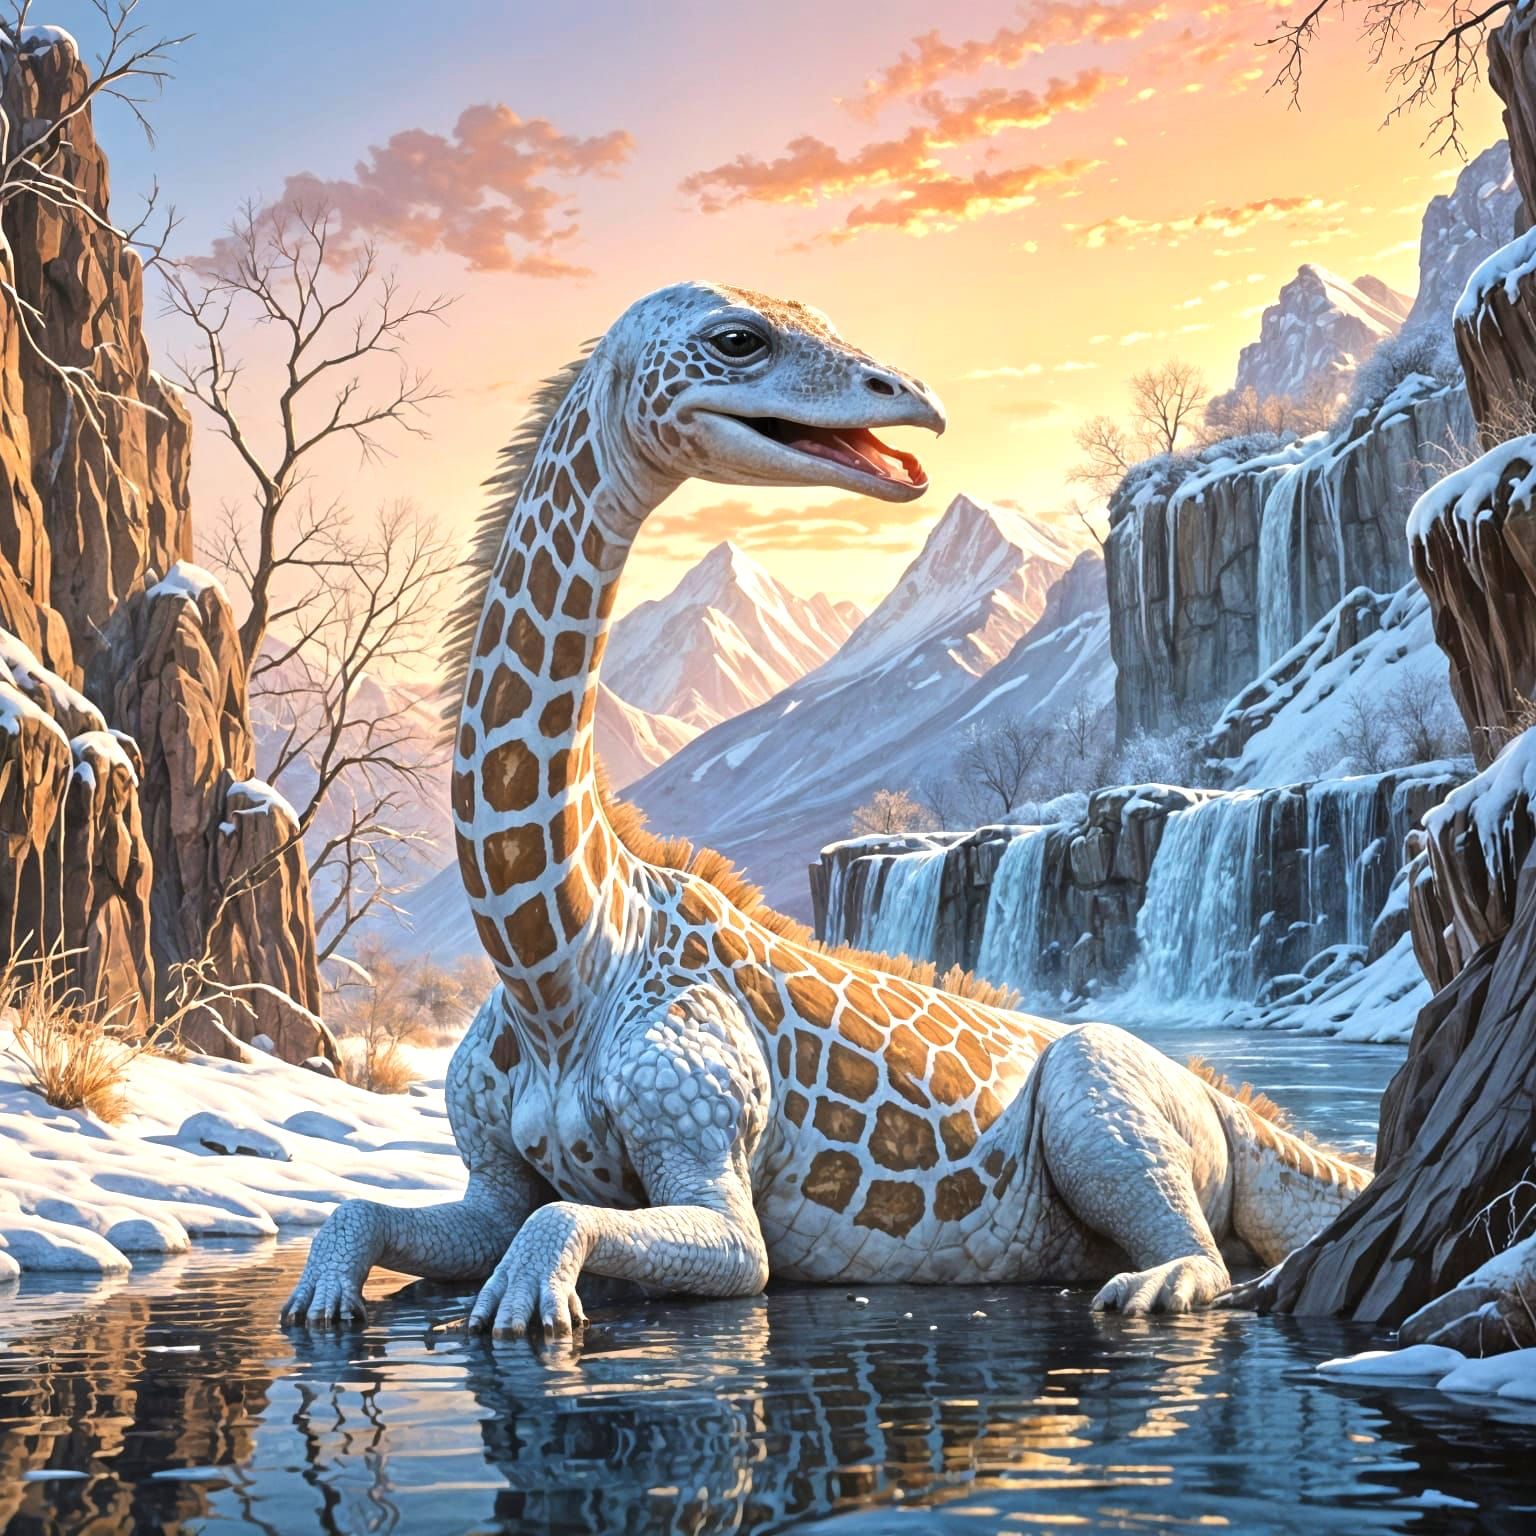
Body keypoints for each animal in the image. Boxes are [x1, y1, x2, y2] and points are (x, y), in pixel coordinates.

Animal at [283, 281, 1370, 1336]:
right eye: (739, 338)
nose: (915, 398)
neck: (558, 962)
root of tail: (1223, 1099)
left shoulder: (716, 1174)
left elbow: (568, 1229)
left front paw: (523, 1306)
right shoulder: (489, 1182)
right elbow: (367, 1209)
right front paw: (323, 1300)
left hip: (1100, 1095)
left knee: (1201, 1257)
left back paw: (1149, 1287)